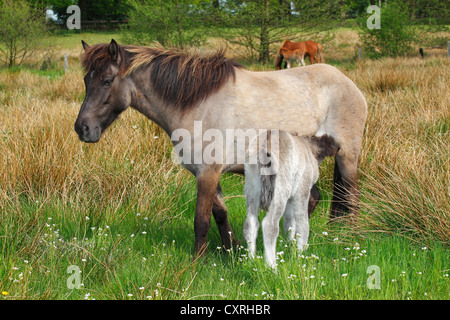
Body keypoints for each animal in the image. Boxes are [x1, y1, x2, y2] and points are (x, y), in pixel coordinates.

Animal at [244, 131, 340, 268]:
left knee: (251, 223)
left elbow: (289, 222)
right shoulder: (302, 189)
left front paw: (290, 245)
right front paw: (301, 252)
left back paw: (251, 260)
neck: (309, 149)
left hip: (252, 189)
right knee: (269, 225)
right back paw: (272, 266)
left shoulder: (291, 197)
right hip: (279, 192)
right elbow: (302, 222)